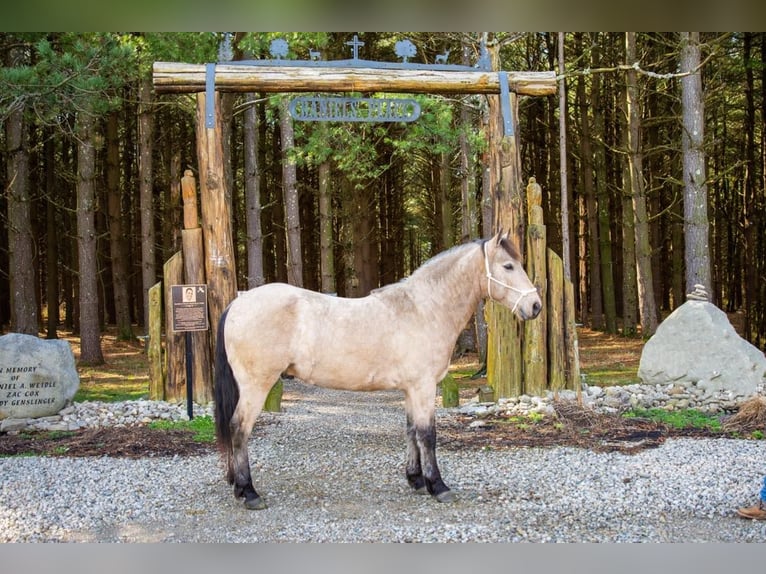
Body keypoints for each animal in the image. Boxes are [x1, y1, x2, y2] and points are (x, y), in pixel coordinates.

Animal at [213, 232, 544, 510]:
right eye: (508, 266)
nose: (535, 306)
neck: (424, 309)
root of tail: (237, 305)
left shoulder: (411, 389)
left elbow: (411, 431)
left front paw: (416, 480)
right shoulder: (424, 387)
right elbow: (428, 435)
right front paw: (438, 486)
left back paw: (239, 488)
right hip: (257, 386)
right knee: (239, 429)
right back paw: (249, 492)